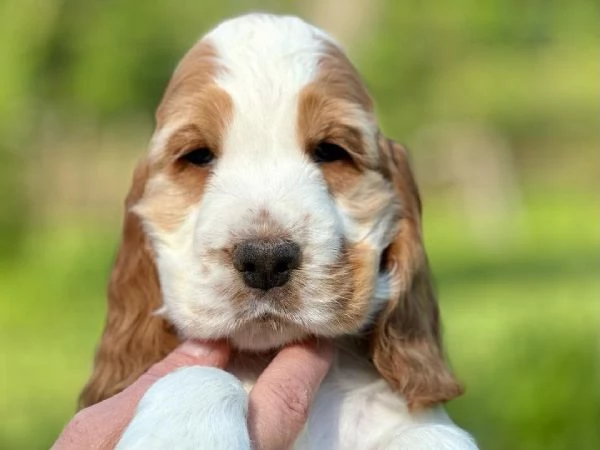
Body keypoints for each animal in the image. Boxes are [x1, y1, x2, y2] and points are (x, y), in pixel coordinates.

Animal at [81, 12, 478, 448]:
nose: (266, 260)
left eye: (331, 151)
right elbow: (199, 373)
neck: (264, 355)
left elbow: (435, 434)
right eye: (198, 156)